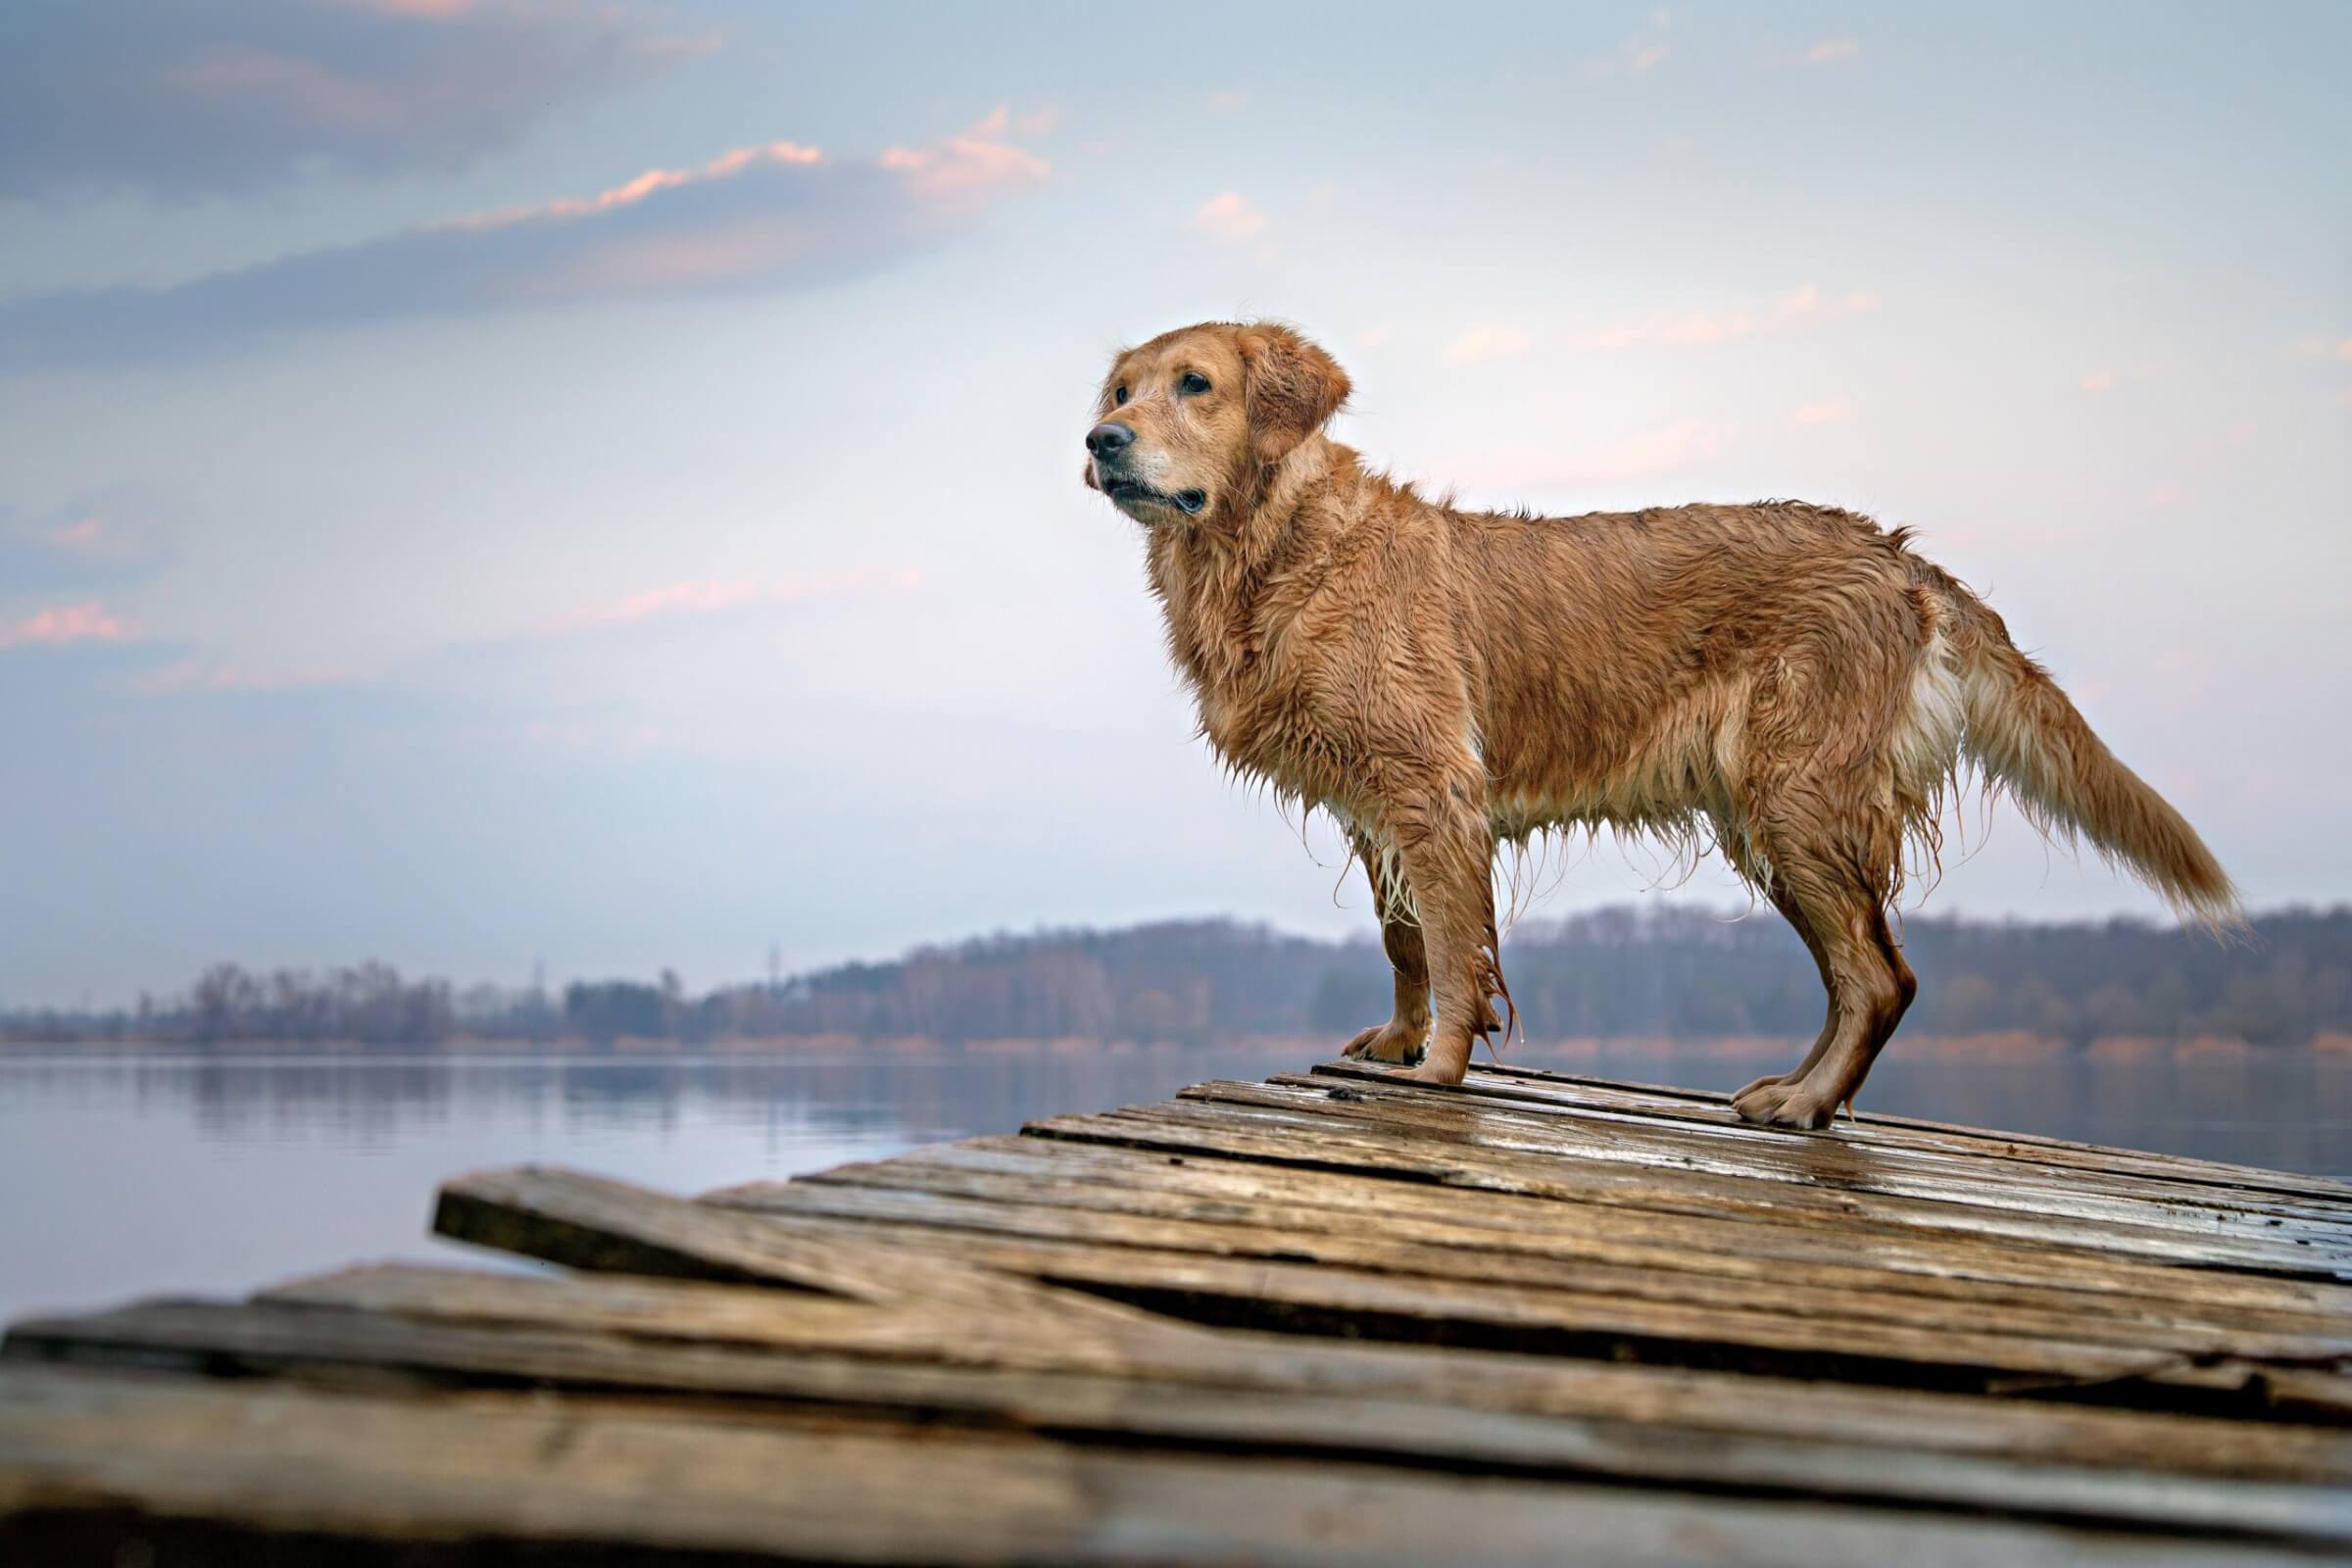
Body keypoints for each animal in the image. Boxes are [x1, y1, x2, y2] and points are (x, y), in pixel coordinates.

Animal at [1077, 319, 2230, 1128]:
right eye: (1122, 389)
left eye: (1196, 385)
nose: (1100, 439)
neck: (1274, 551)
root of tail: (1900, 558)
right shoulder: (1375, 805)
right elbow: (1403, 936)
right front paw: (1402, 1041)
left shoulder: (1432, 786)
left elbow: (1451, 948)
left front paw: (1441, 1067)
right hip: (1772, 825)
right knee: (1861, 976)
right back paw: (1799, 1091)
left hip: (1797, 801)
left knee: (1880, 977)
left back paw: (1806, 1105)